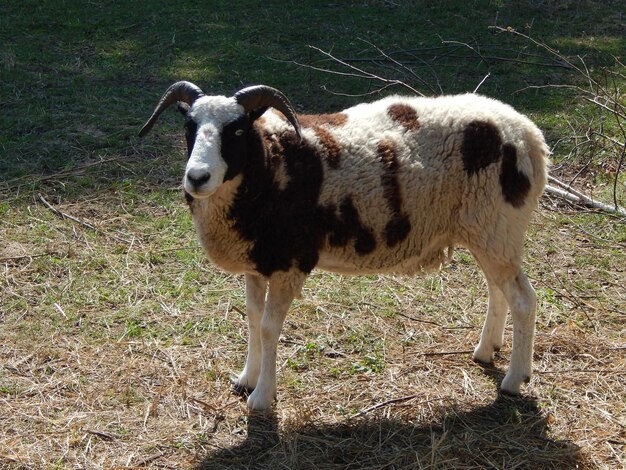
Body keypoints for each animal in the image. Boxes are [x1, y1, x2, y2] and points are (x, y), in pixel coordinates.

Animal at [139, 81, 548, 412]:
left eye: (237, 129)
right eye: (189, 126)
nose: (197, 177)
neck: (272, 164)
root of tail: (530, 135)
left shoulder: (290, 261)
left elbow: (270, 328)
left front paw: (262, 398)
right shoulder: (258, 261)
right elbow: (253, 320)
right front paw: (246, 379)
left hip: (497, 225)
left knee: (523, 299)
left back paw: (515, 379)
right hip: (488, 231)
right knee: (498, 289)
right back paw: (486, 350)